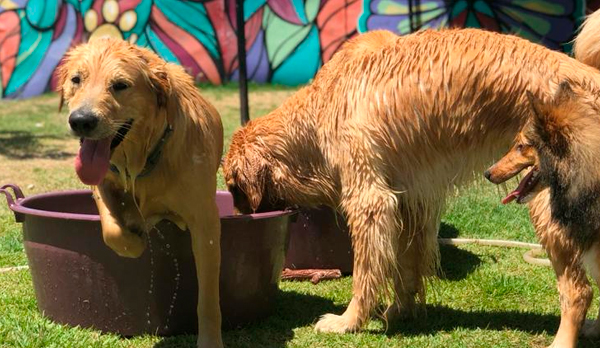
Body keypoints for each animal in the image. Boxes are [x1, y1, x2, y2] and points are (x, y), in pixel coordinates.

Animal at [56, 38, 223, 348]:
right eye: (76, 79)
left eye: (120, 85)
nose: (81, 120)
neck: (144, 157)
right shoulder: (102, 182)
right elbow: (113, 231)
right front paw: (135, 239)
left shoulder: (205, 221)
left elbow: (208, 295)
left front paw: (209, 341)